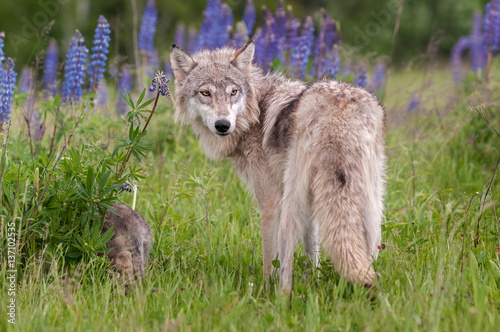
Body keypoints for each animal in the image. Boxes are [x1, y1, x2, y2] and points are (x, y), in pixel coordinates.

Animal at [170, 39, 384, 290]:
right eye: (205, 93)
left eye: (233, 92)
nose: (223, 125)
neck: (254, 115)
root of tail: (340, 112)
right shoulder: (310, 204)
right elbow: (312, 252)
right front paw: (313, 281)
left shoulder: (270, 204)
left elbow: (269, 260)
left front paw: (263, 289)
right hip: (371, 204)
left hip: (292, 201)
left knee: (286, 256)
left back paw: (282, 295)